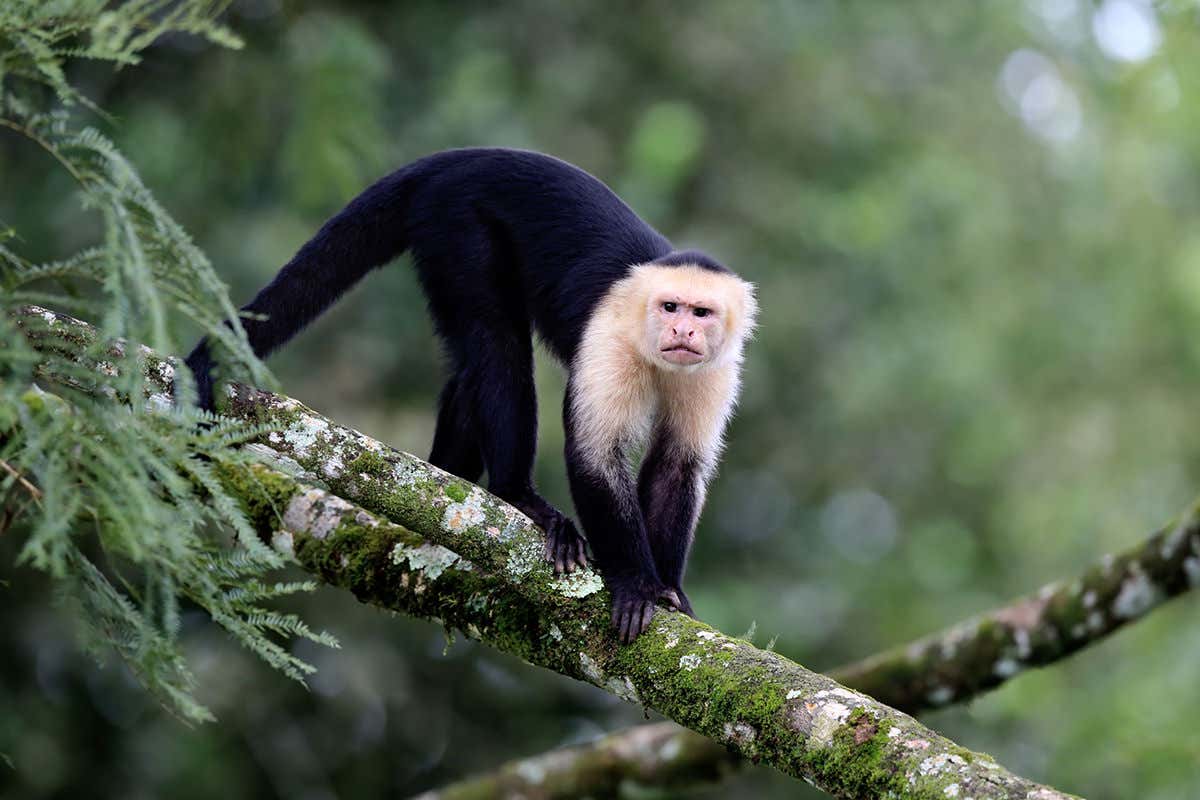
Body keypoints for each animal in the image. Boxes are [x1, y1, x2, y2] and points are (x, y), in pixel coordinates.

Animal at [185, 148, 756, 642]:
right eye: (669, 307)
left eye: (701, 313)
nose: (682, 331)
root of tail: (466, 157)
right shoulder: (610, 338)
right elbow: (596, 456)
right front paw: (635, 584)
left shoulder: (718, 368)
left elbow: (676, 466)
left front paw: (668, 590)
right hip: (455, 219)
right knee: (496, 340)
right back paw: (516, 494)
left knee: (473, 367)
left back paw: (448, 475)